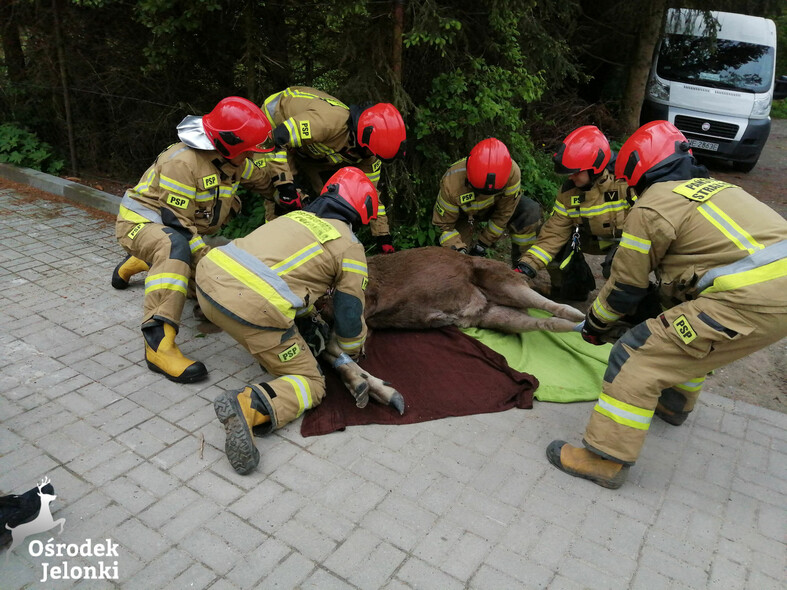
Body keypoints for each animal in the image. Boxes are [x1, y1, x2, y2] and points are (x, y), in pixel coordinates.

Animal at [318, 247, 588, 414]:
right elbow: (333, 350)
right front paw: (367, 387)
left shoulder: (365, 309)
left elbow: (334, 347)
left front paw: (370, 387)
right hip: (497, 310)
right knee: (544, 318)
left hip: (499, 288)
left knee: (546, 307)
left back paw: (583, 318)